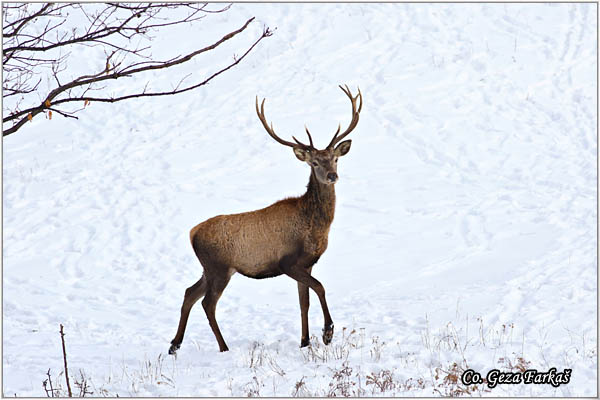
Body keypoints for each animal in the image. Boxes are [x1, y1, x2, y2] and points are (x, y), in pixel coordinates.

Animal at [169, 84, 364, 354]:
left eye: (335, 159)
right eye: (314, 162)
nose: (332, 176)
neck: (315, 227)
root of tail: (192, 233)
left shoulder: (307, 263)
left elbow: (304, 301)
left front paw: (305, 341)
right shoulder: (287, 262)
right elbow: (320, 287)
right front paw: (327, 333)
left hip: (210, 269)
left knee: (189, 293)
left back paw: (174, 344)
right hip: (218, 267)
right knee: (207, 303)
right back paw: (223, 347)